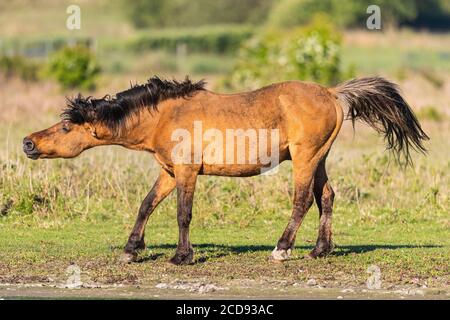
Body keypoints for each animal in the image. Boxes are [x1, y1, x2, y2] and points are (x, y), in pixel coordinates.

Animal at [23, 76, 428, 264]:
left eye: (65, 128)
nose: (28, 142)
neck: (164, 116)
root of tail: (332, 93)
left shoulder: (186, 173)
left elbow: (183, 214)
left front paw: (181, 256)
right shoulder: (169, 172)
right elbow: (146, 206)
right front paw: (130, 250)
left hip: (305, 159)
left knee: (302, 202)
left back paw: (282, 249)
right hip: (319, 160)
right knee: (326, 197)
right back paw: (319, 250)